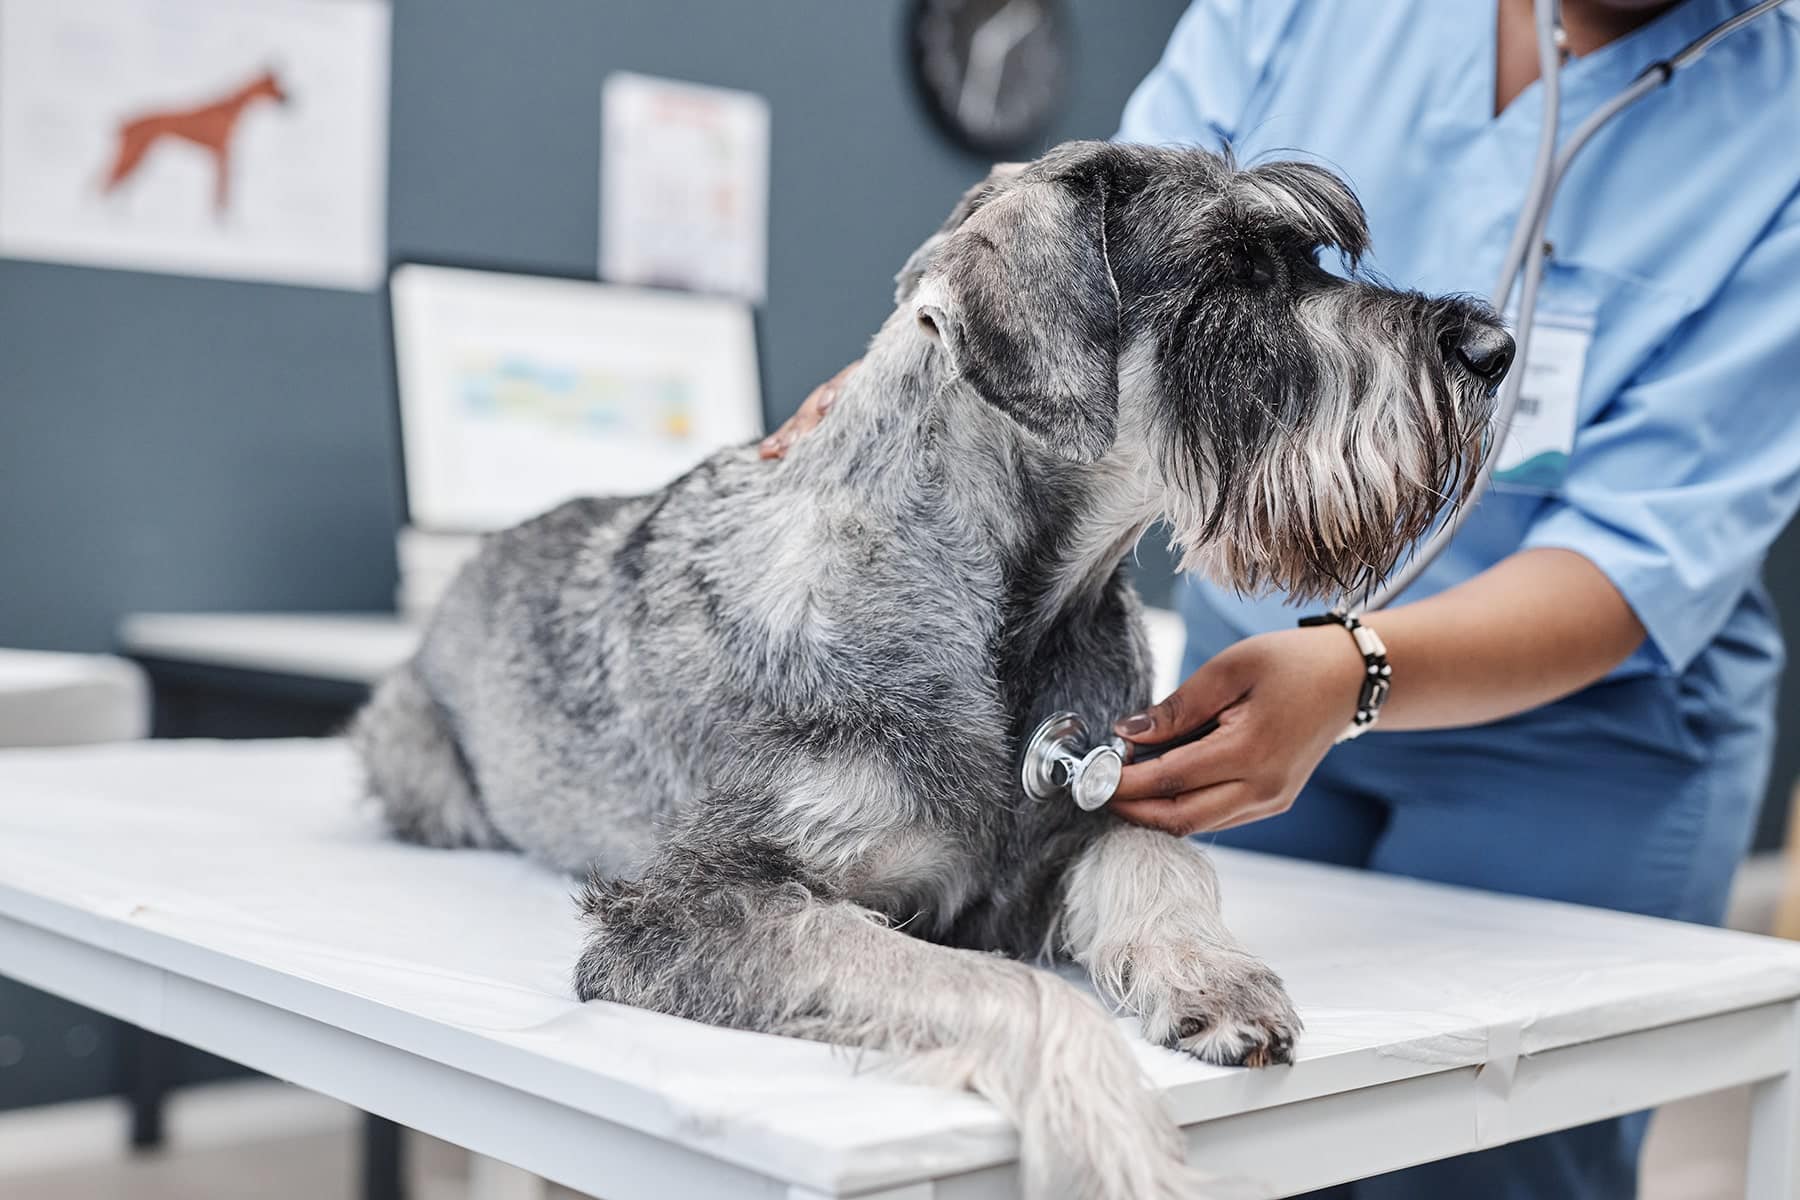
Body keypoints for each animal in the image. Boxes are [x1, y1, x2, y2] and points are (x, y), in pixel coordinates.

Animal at [351, 143, 1504, 1200]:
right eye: (1236, 271)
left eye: (1301, 258)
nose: (1493, 347)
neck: (1018, 618)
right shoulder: (700, 909)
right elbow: (1003, 989)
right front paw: (1115, 1139)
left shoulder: (1083, 819)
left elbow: (1158, 860)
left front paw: (1211, 975)